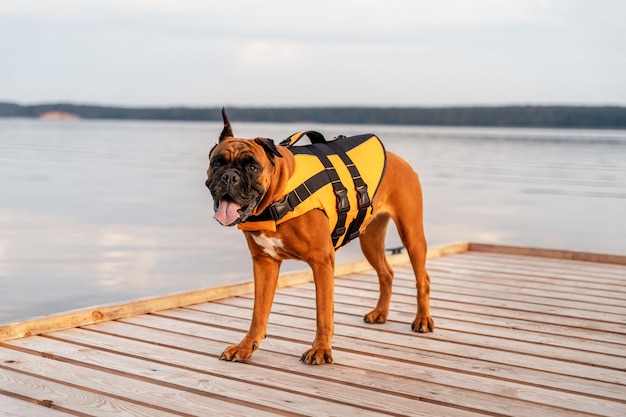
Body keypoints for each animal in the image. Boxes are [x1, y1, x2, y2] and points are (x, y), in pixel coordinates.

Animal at [204, 108, 428, 364]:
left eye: (252, 167)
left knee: (423, 278)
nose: (229, 177)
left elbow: (323, 312)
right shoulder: (264, 263)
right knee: (386, 273)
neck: (279, 193)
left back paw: (422, 320)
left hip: (411, 234)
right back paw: (380, 312)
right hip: (370, 241)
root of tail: (399, 159)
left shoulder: (322, 261)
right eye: (217, 163)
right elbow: (258, 312)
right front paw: (245, 347)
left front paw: (321, 349)